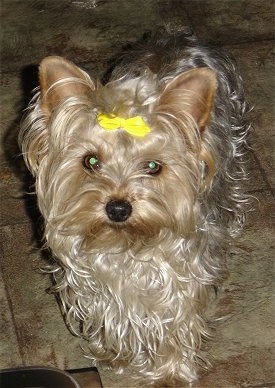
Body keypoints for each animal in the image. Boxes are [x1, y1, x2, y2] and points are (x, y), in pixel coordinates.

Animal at [19, 33, 251, 384]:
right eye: (91, 161)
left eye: (153, 166)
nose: (118, 209)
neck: (125, 244)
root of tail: (177, 37)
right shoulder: (94, 282)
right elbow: (110, 314)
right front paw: (116, 354)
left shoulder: (180, 277)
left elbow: (176, 321)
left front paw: (171, 373)